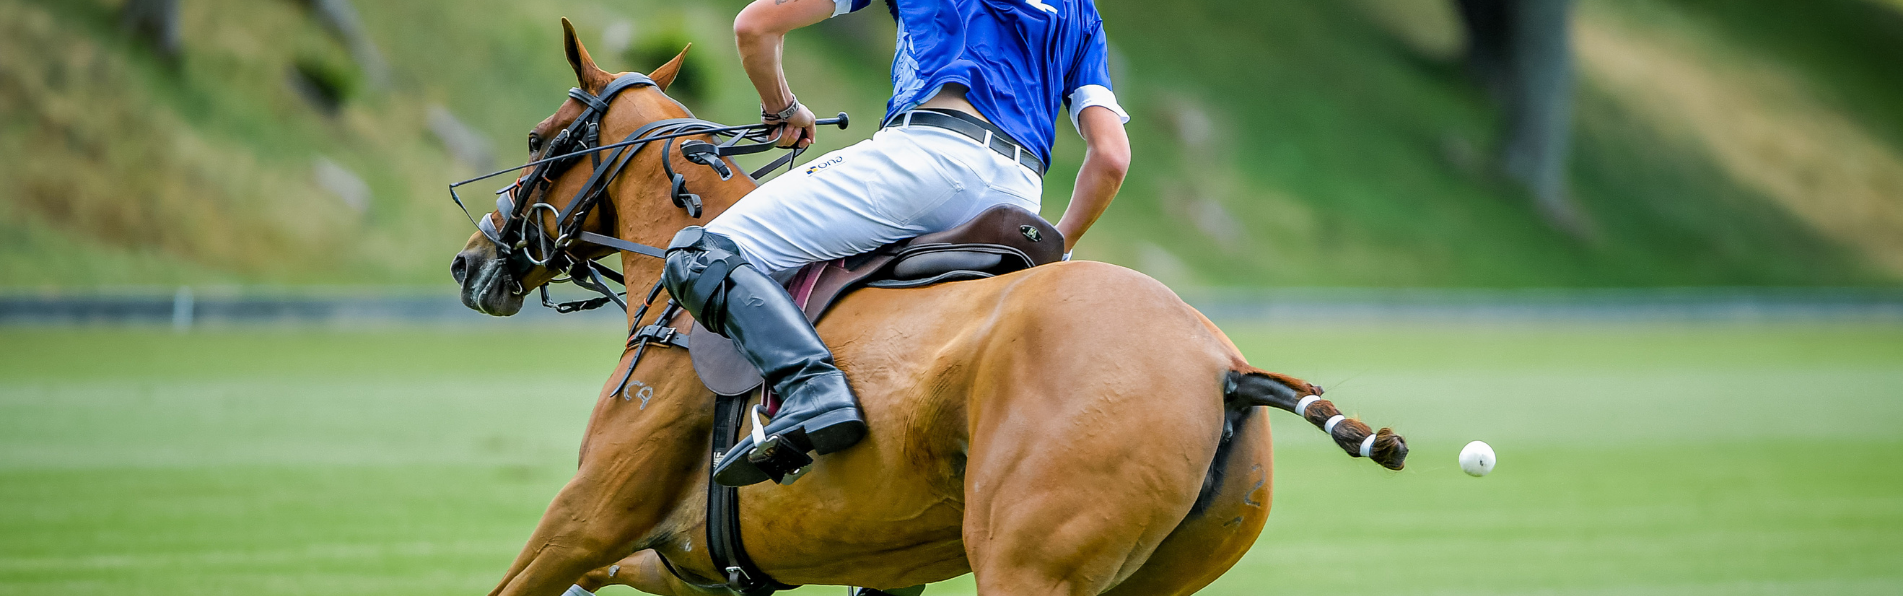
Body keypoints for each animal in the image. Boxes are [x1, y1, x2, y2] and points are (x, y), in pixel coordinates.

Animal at [441, 19, 1400, 594]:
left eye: (536, 139)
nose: (469, 261)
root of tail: (1223, 365)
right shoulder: (686, 561)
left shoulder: (588, 519)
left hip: (1026, 564)